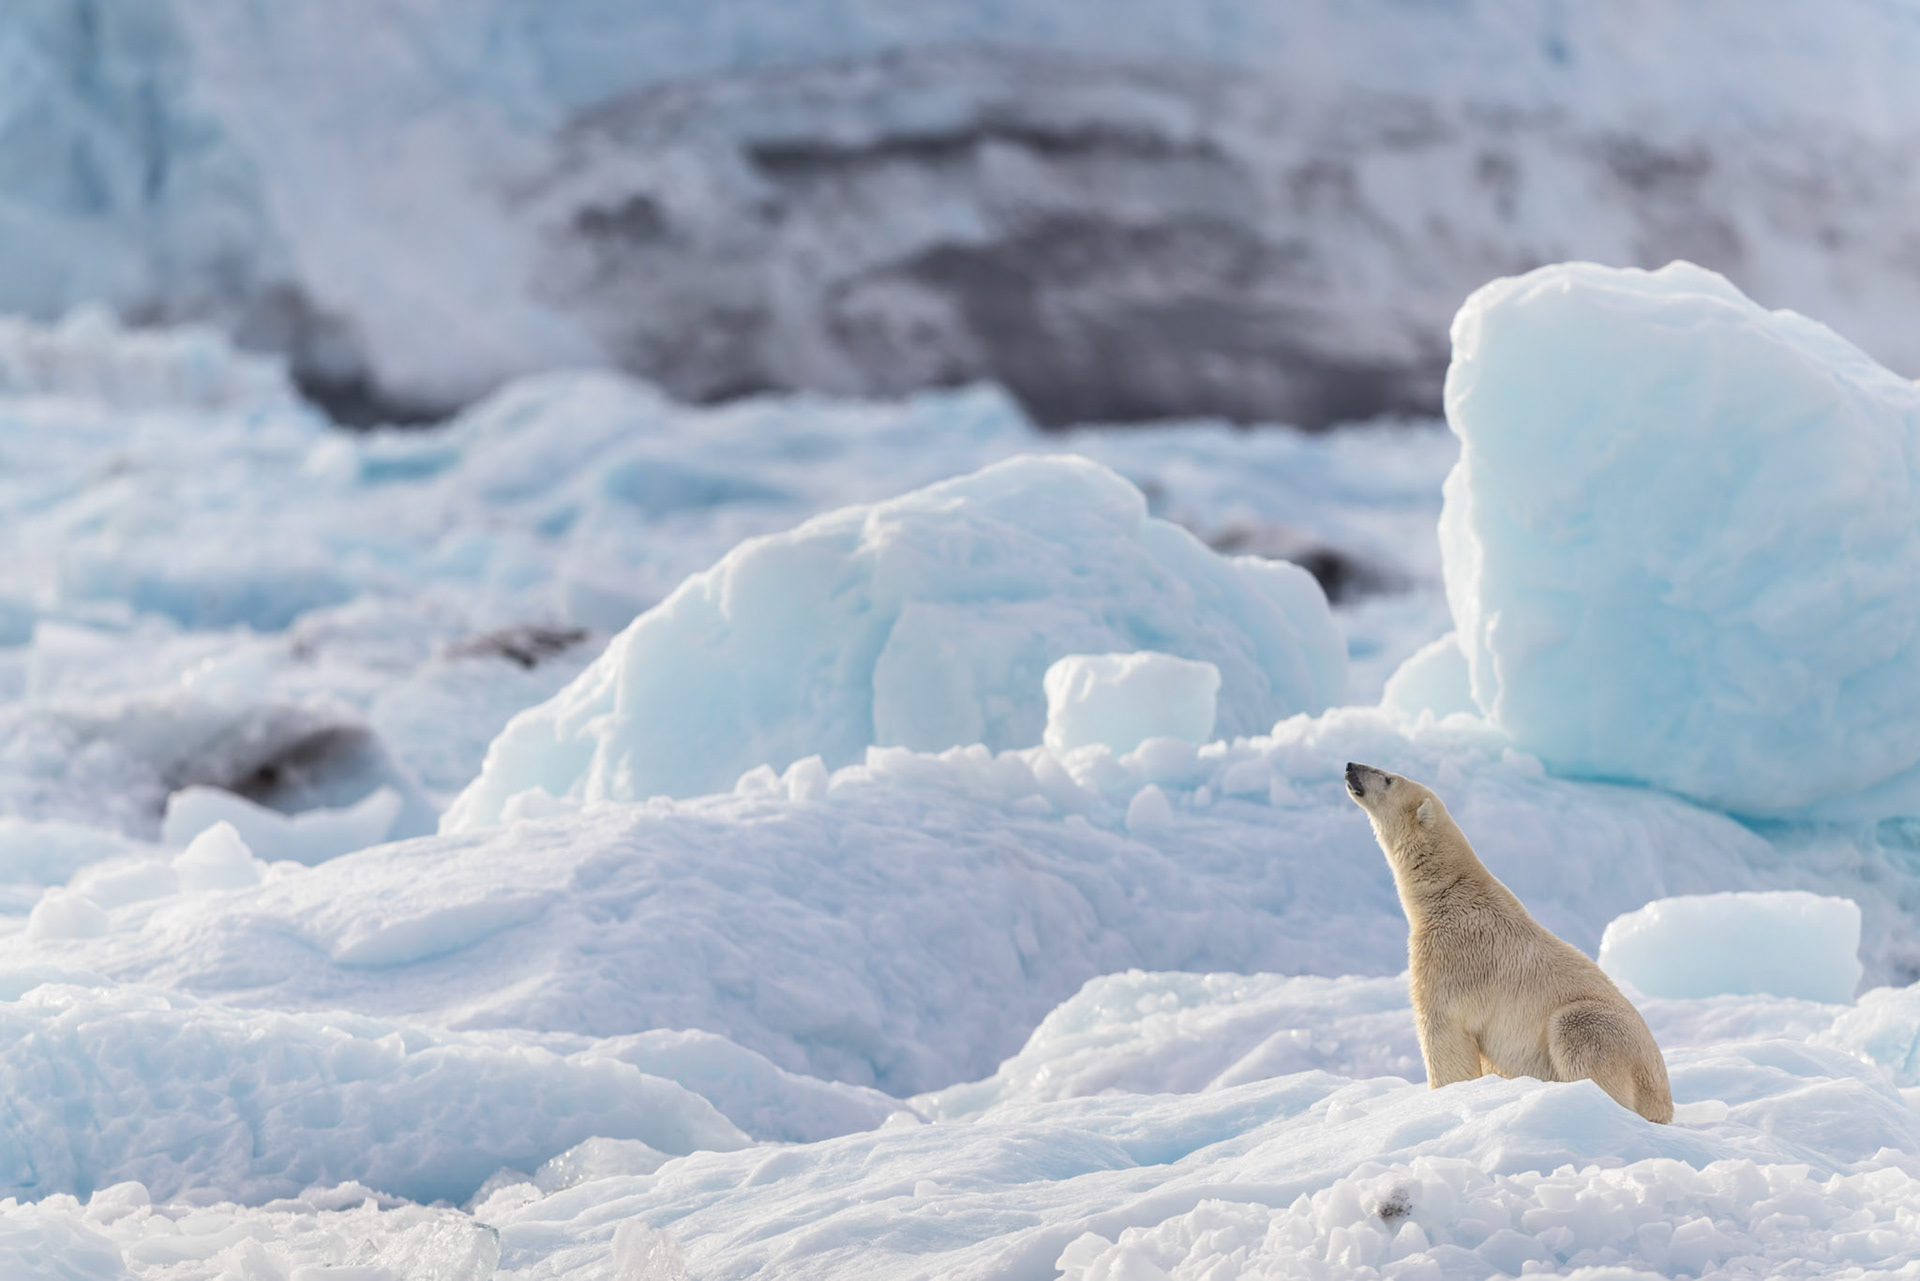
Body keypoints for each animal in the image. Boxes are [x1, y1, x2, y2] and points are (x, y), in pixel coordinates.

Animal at [1344, 761, 1673, 1123]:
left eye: (1388, 778)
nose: (1351, 766)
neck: (1449, 893)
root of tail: (1664, 1102)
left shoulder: (1452, 959)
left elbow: (1443, 1035)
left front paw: (1441, 1097)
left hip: (1602, 1031)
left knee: (1576, 1031)